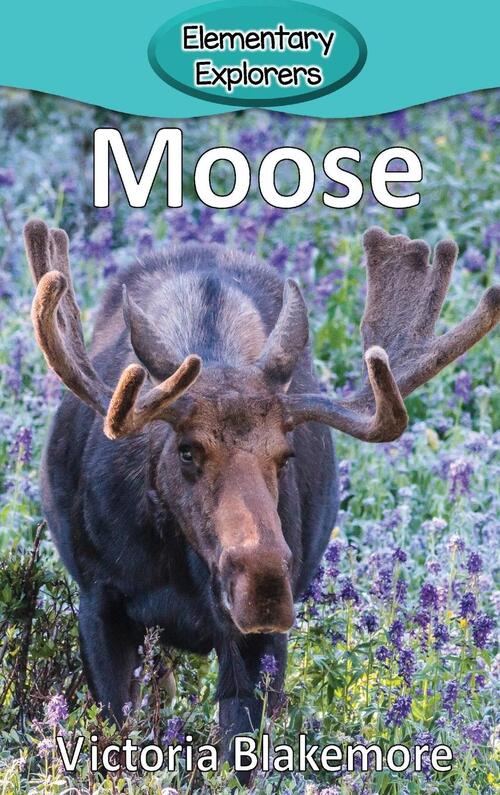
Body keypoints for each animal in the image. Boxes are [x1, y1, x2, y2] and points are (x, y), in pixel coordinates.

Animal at [24, 218, 499, 773]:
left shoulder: (259, 644)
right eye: (187, 450)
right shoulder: (100, 602)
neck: (179, 568)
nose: (265, 585)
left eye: (285, 455)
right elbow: (116, 737)